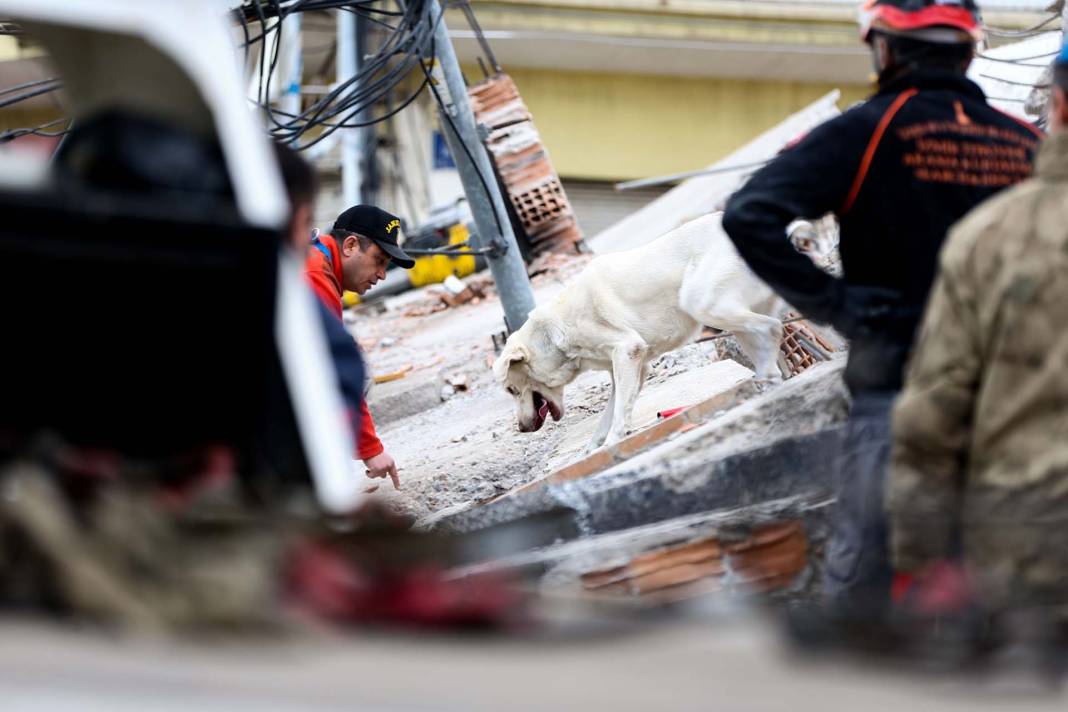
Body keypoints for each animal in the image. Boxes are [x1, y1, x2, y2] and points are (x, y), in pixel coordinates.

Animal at [493, 211, 833, 454]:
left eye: (511, 390)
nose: (521, 429)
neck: (553, 336)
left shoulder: (627, 351)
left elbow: (619, 411)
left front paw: (613, 441)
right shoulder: (630, 366)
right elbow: (610, 411)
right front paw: (594, 448)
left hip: (705, 302)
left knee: (772, 328)